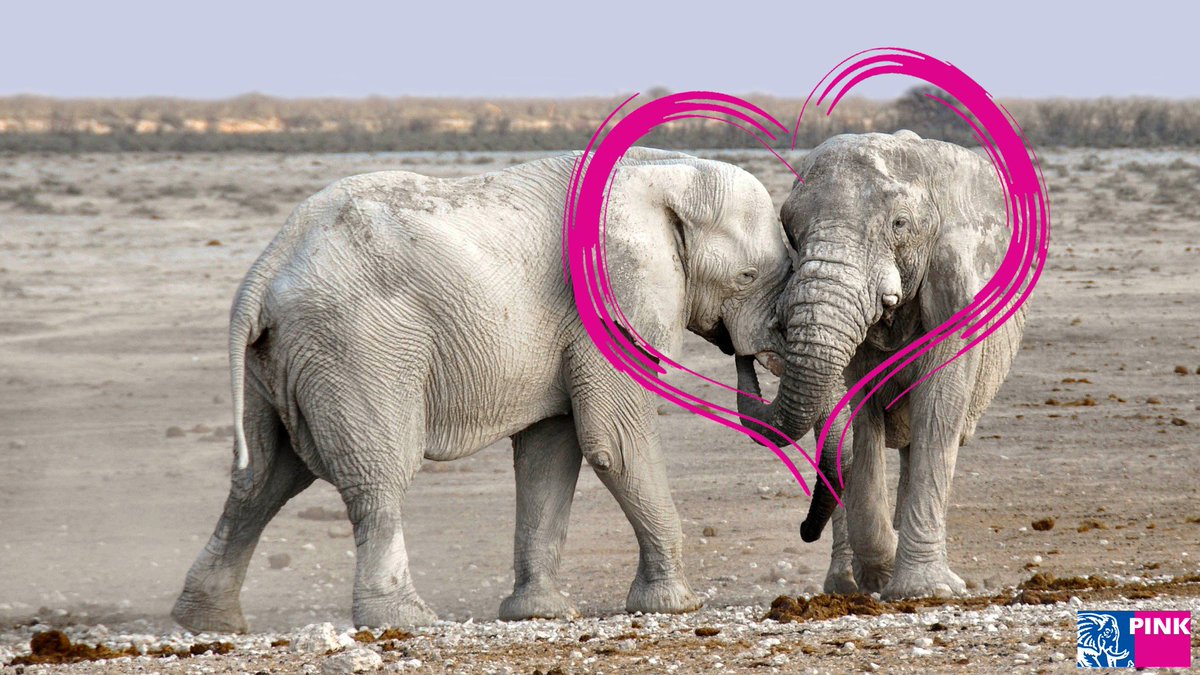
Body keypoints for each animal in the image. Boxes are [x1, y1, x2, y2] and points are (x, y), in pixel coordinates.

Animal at [171, 148, 793, 632]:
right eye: (747, 277)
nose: (747, 357)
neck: (665, 172)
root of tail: (266, 267)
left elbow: (550, 451)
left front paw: (539, 614)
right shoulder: (611, 296)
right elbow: (613, 441)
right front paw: (675, 605)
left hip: (280, 359)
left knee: (263, 479)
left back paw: (208, 623)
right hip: (357, 348)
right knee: (377, 475)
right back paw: (405, 621)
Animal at [736, 131, 1026, 599]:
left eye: (900, 225)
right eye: (790, 230)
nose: (745, 350)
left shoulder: (955, 294)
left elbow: (938, 410)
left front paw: (923, 591)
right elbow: (862, 420)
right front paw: (883, 574)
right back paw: (846, 585)